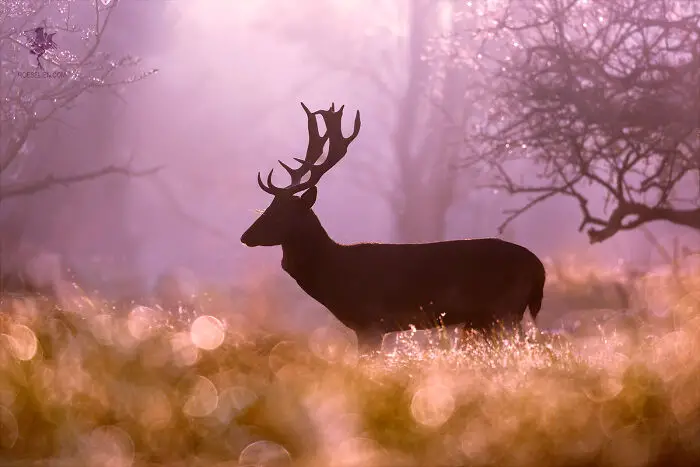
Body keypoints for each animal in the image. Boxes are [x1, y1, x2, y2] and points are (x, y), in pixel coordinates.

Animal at [241, 102, 548, 352]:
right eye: (267, 207)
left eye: (282, 213)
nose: (246, 236)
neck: (337, 274)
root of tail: (539, 268)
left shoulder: (371, 322)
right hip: (492, 317)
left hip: (505, 310)